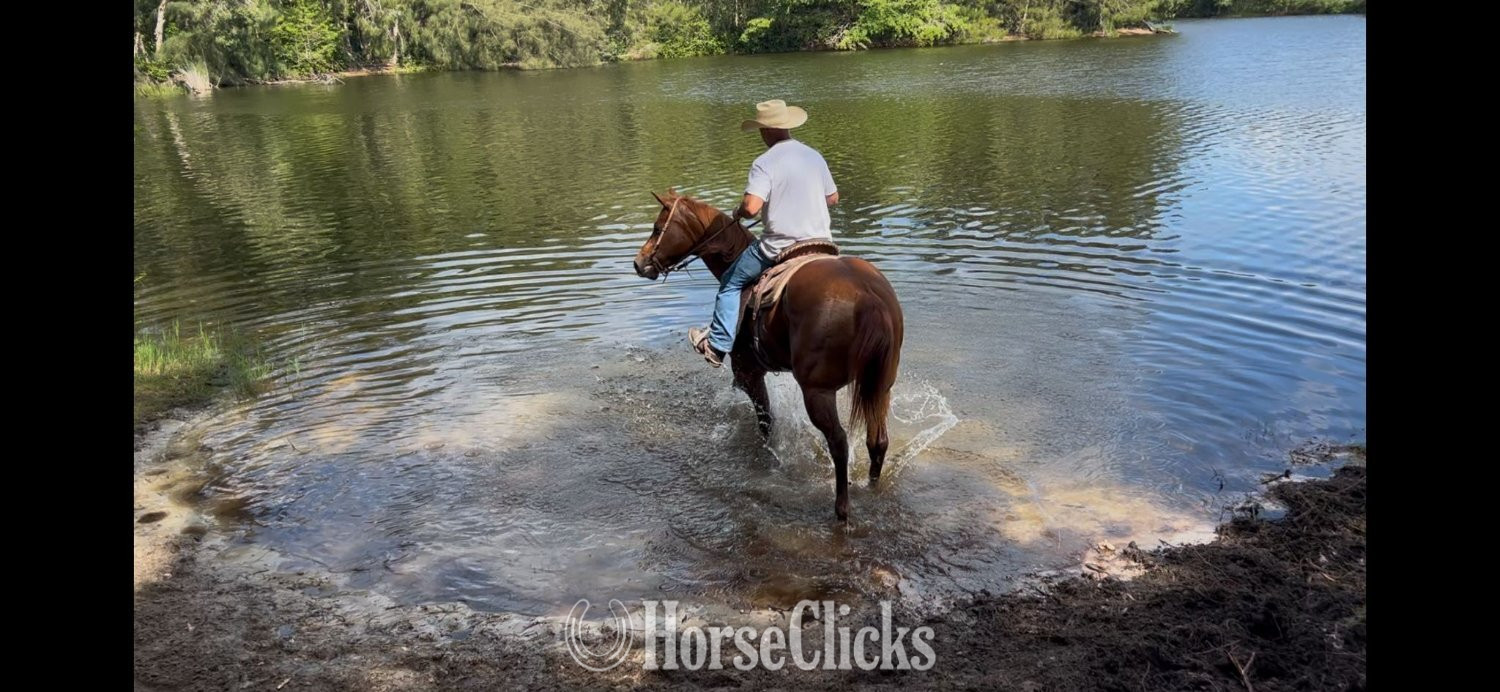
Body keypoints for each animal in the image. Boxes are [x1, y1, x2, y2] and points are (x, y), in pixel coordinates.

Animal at [632, 189, 904, 521]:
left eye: (657, 228)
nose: (639, 263)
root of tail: (869, 296)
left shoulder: (748, 373)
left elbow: (766, 423)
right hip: (880, 385)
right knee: (877, 440)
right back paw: (871, 487)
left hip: (818, 390)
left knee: (839, 442)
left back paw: (842, 509)